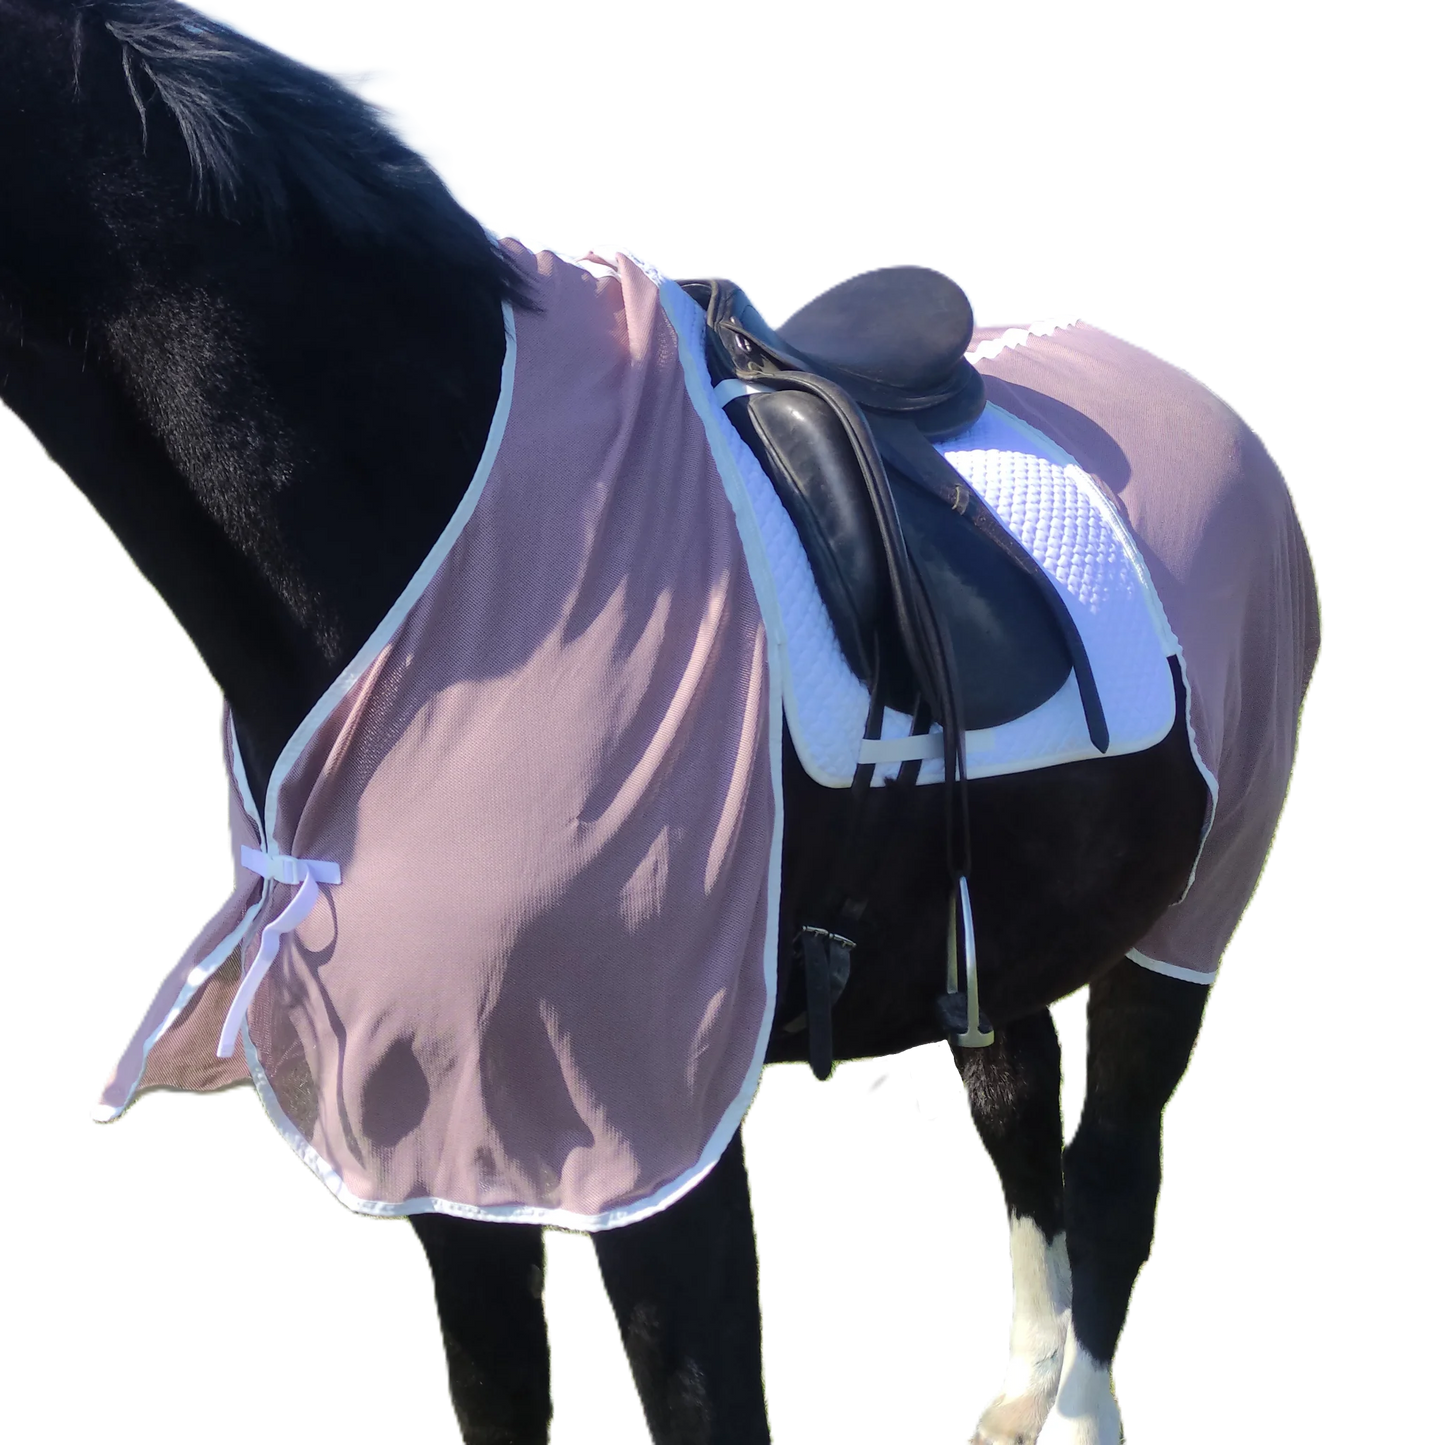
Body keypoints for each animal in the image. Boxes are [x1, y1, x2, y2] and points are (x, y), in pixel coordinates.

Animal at [0, 4, 1324, 1442]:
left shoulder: (655, 1126)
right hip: (1003, 918)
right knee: (1018, 1117)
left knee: (1113, 1167)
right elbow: (498, 1392)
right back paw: (1020, 1390)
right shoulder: (440, 1124)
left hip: (1191, 908)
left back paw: (1076, 1412)